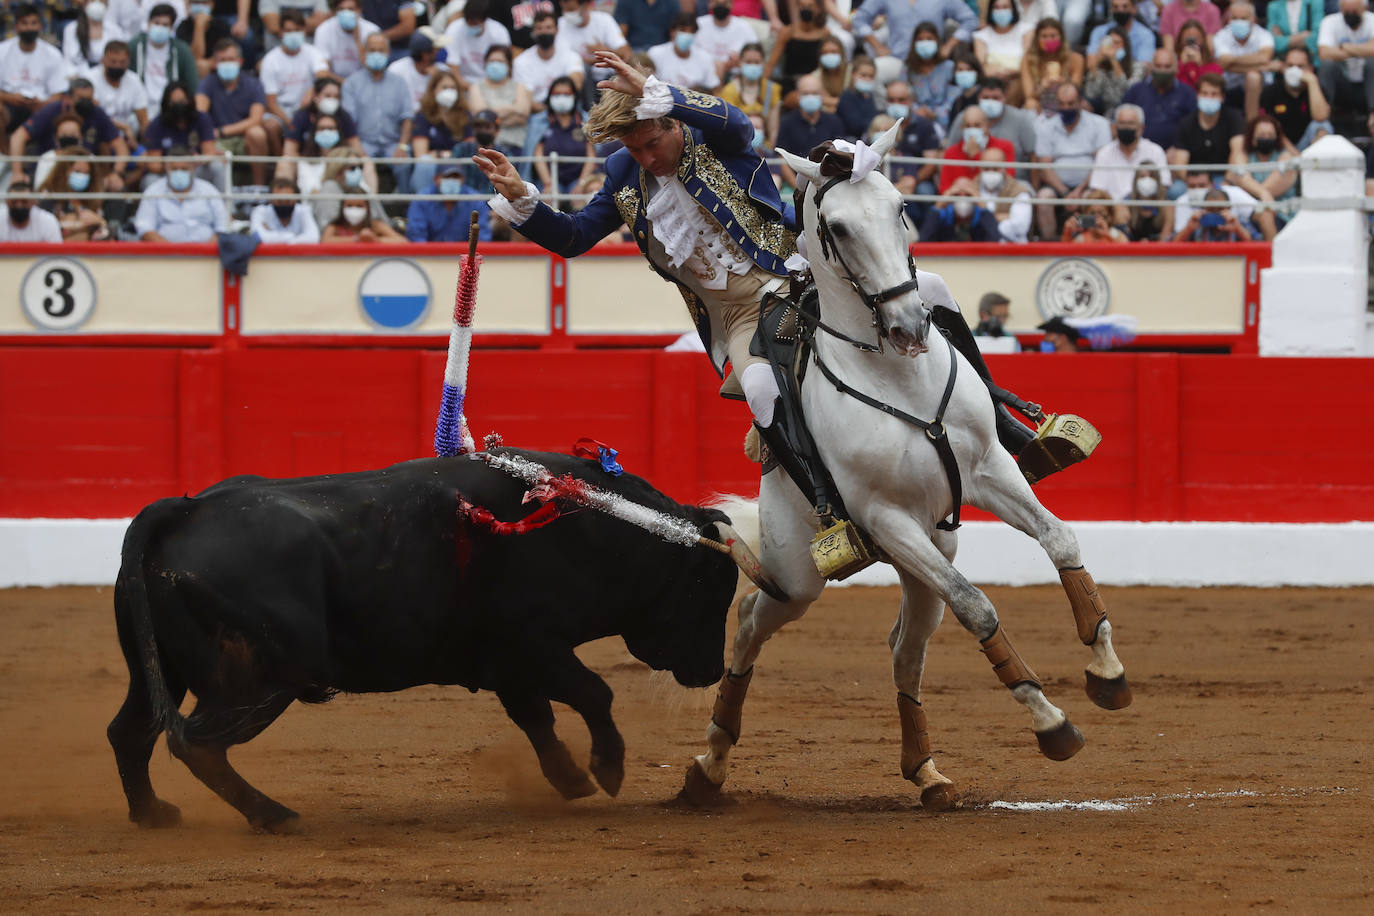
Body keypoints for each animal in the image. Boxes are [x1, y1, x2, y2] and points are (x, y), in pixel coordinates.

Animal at [111, 447, 747, 834]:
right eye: (707, 590)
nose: (710, 670)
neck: (586, 529)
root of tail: (184, 511)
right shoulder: (532, 647)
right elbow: (593, 694)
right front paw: (607, 770)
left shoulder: (507, 662)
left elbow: (537, 718)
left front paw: (569, 779)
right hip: (259, 680)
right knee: (196, 744)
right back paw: (273, 815)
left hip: (160, 672)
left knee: (131, 731)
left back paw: (153, 813)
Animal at [684, 121, 1126, 807]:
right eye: (836, 228)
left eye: (900, 208)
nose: (910, 325)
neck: (898, 376)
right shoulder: (885, 516)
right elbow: (978, 605)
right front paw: (1051, 722)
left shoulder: (989, 471)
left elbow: (1060, 538)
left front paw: (1105, 668)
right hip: (806, 571)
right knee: (754, 618)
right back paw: (710, 762)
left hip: (924, 561)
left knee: (903, 651)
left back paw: (925, 771)